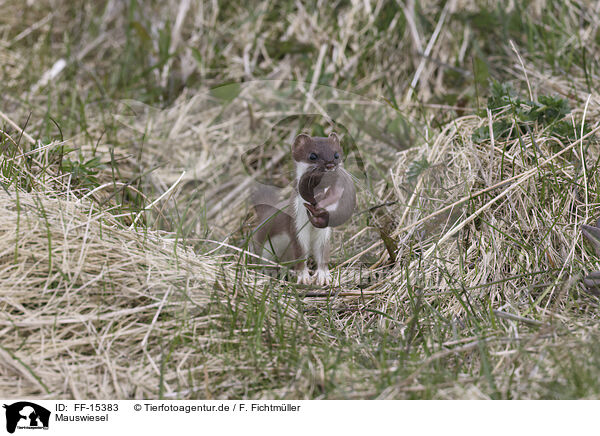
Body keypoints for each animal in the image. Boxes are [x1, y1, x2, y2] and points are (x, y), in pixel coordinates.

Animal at [250, 132, 354, 286]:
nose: (330, 164)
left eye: (336, 154)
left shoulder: (325, 230)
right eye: (312, 155)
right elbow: (300, 251)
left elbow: (322, 252)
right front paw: (303, 277)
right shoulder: (296, 222)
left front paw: (323, 276)